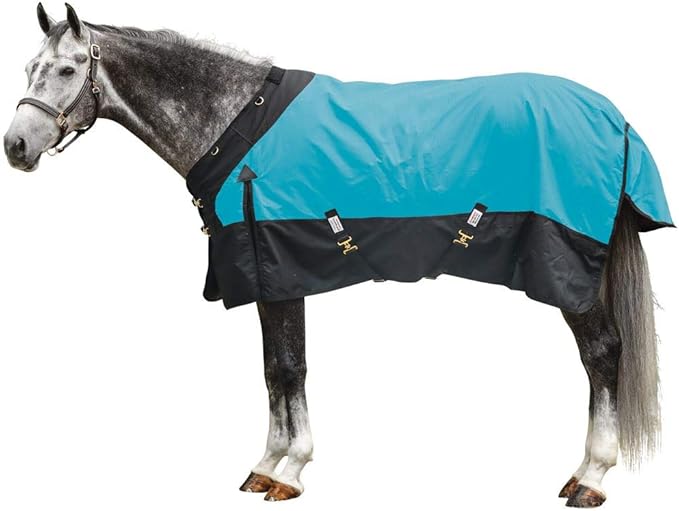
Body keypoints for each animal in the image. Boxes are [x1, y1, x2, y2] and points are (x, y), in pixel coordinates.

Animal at [3, 4, 672, 507]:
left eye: (67, 69)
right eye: (30, 67)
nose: (15, 146)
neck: (235, 123)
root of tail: (613, 118)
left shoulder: (278, 271)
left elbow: (289, 368)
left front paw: (290, 471)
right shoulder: (266, 277)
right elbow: (273, 369)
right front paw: (266, 464)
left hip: (569, 268)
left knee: (602, 353)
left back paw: (589, 477)